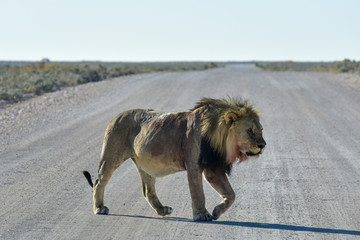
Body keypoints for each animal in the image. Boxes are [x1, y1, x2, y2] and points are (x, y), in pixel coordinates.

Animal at [83, 97, 266, 221]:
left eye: (261, 129)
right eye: (250, 130)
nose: (263, 145)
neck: (219, 140)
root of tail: (117, 116)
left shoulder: (213, 168)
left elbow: (231, 194)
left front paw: (216, 211)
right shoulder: (194, 165)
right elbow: (198, 193)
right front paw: (202, 215)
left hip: (144, 164)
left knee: (147, 190)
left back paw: (163, 210)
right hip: (111, 155)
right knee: (99, 181)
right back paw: (99, 208)